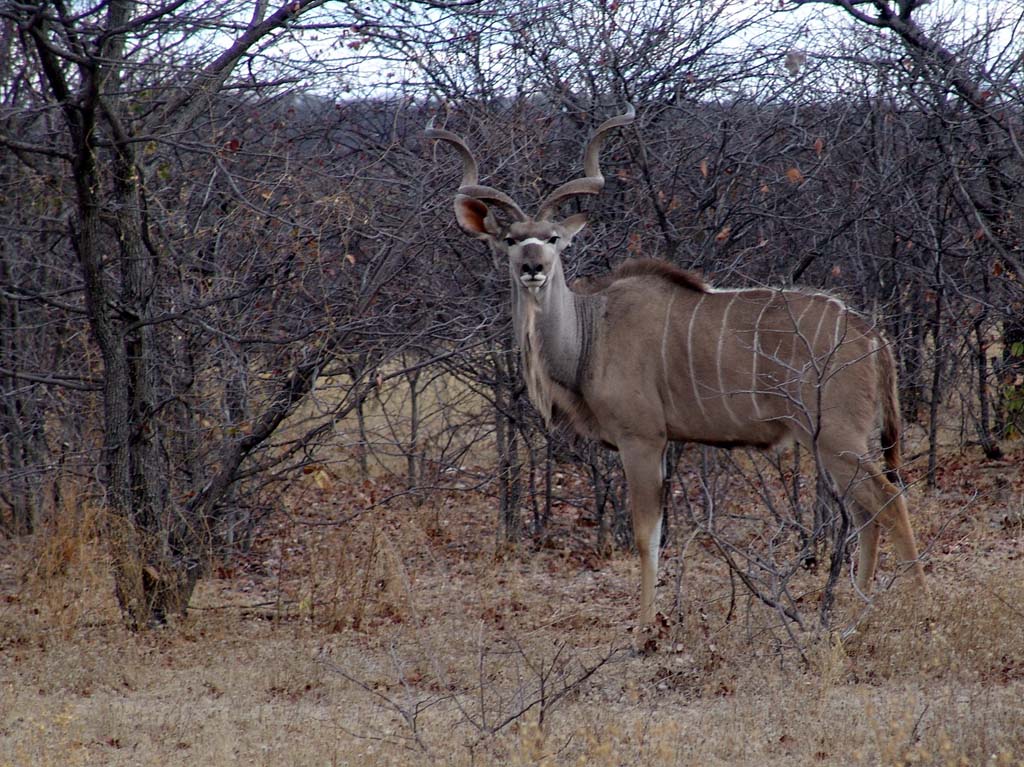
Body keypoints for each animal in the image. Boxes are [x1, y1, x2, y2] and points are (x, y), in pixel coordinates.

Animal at [425, 104, 929, 626]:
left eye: (552, 238)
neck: (591, 331)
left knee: (890, 501)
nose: (532, 268)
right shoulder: (662, 443)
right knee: (868, 514)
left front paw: (646, 624)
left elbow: (646, 536)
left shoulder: (642, 439)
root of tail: (873, 337)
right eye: (509, 239)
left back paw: (922, 607)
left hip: (837, 438)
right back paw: (861, 611)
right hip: (833, 443)